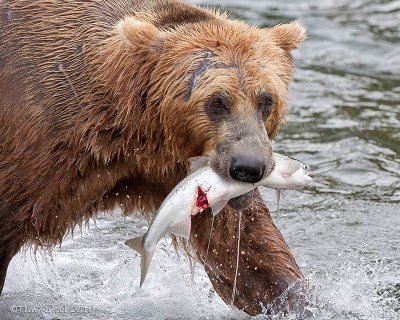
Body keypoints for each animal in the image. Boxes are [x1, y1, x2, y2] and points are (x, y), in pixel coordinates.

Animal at [0, 0, 306, 316]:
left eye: (266, 100)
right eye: (217, 102)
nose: (248, 167)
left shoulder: (175, 176)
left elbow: (246, 251)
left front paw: (294, 300)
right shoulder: (40, 151)